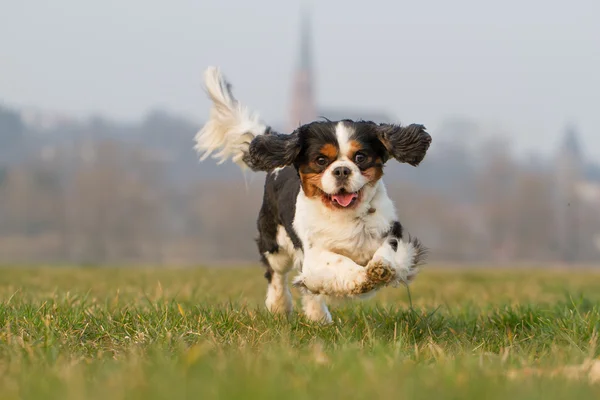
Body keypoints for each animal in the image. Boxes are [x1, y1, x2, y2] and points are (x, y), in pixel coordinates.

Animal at [196, 67, 432, 324]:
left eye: (360, 157)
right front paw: (362, 278)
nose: (342, 170)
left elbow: (388, 253)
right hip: (275, 243)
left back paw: (318, 318)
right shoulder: (314, 256)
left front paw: (380, 268)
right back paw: (279, 307)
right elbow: (337, 263)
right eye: (321, 160)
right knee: (277, 276)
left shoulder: (392, 233)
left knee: (307, 289)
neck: (345, 214)